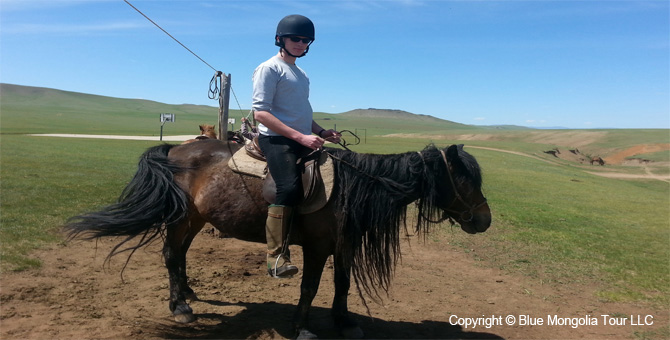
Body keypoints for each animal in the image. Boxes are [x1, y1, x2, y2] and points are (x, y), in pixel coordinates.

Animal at [64, 139, 494, 338]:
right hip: (181, 218)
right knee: (171, 253)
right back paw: (179, 307)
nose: (485, 220)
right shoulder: (319, 247)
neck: (352, 187)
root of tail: (175, 150)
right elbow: (310, 287)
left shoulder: (345, 245)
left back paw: (187, 292)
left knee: (182, 254)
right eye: (464, 178)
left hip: (197, 219)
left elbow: (342, 284)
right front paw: (302, 327)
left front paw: (344, 322)